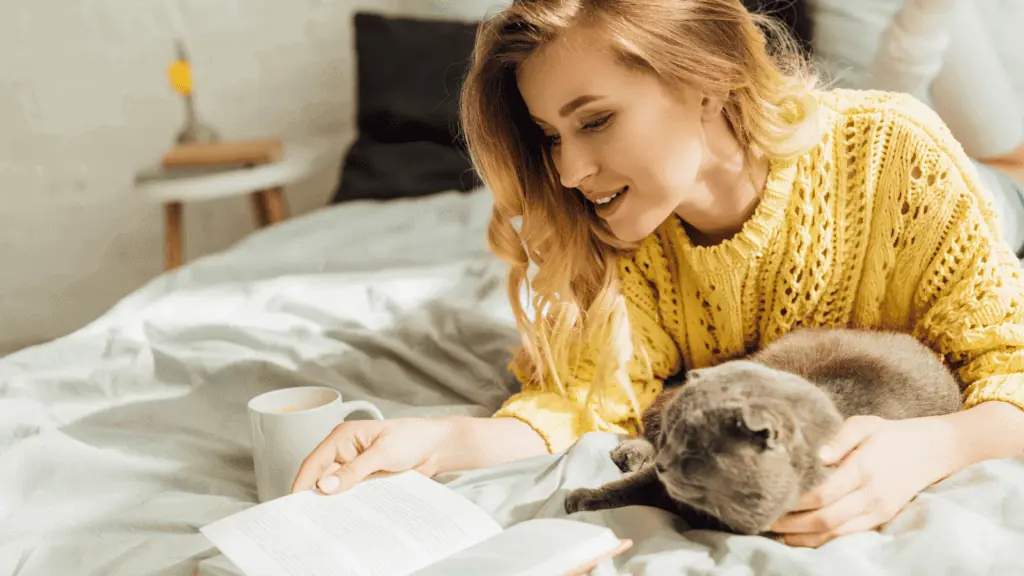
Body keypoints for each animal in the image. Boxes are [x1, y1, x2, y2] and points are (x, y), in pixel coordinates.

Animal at [565, 327, 962, 532]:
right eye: (672, 439)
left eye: (692, 449)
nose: (664, 461)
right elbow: (633, 487)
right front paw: (584, 497)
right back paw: (632, 452)